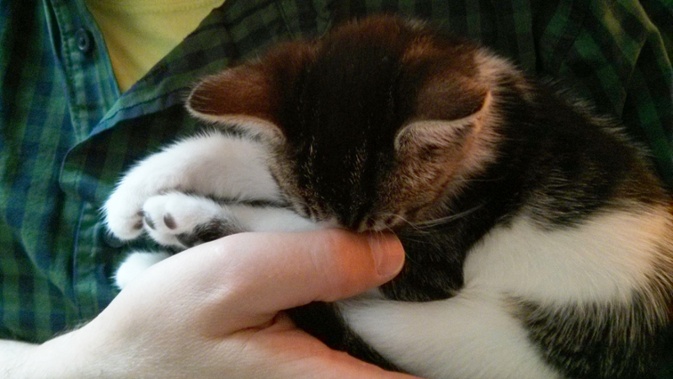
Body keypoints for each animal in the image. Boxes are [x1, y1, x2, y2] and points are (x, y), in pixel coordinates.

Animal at [103, 16, 672, 379]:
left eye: (377, 224)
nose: (352, 238)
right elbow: (247, 162)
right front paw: (135, 190)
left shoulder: (432, 263)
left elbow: (292, 235)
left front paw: (173, 208)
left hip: (477, 342)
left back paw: (162, 245)